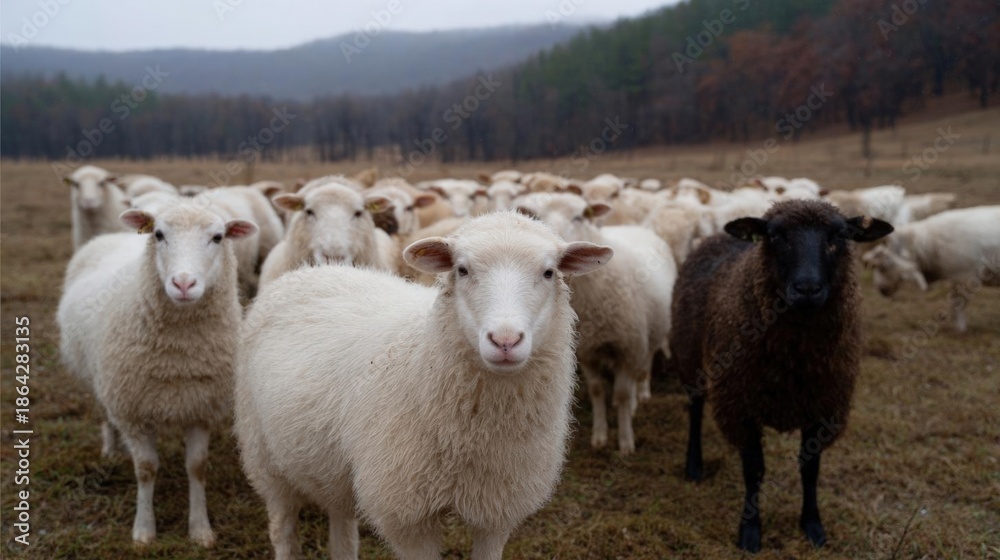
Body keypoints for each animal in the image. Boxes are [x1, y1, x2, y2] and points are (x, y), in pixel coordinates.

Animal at [56, 202, 258, 546]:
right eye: (159, 234)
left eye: (218, 237)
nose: (183, 284)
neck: (177, 359)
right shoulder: (132, 410)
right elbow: (146, 469)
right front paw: (144, 530)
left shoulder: (199, 408)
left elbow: (197, 467)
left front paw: (200, 529)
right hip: (101, 380)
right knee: (105, 413)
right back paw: (111, 449)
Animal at [235, 211, 611, 560]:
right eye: (462, 270)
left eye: (549, 273)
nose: (505, 340)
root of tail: (311, 270)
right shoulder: (407, 516)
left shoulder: (497, 511)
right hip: (264, 457)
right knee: (283, 528)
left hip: (330, 469)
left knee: (341, 525)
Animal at [515, 193, 675, 454]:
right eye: (538, 218)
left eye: (579, 216)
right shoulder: (588, 351)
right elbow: (597, 390)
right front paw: (600, 435)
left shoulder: (628, 348)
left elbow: (622, 394)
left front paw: (625, 441)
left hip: (651, 332)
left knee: (644, 364)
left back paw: (640, 394)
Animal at [671, 199, 892, 552]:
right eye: (775, 236)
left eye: (839, 236)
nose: (807, 289)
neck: (794, 357)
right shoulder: (740, 404)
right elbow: (754, 470)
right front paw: (749, 531)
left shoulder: (824, 408)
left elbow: (810, 469)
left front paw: (812, 526)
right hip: (689, 357)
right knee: (695, 409)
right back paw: (694, 466)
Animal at [861, 205, 1000, 332]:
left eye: (884, 267)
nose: (882, 290)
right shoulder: (957, 278)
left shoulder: (963, 276)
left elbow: (957, 304)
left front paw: (960, 329)